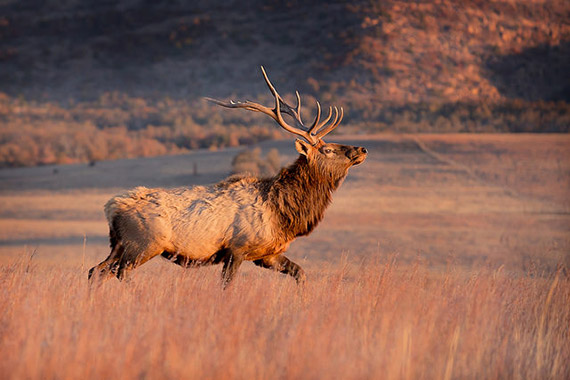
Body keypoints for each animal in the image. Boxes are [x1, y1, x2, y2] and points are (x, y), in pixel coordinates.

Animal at [86, 67, 366, 286]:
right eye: (328, 150)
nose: (361, 149)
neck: (282, 213)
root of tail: (111, 208)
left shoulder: (267, 254)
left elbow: (301, 273)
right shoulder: (237, 249)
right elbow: (227, 287)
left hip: (119, 245)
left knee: (95, 271)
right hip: (142, 244)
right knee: (120, 273)